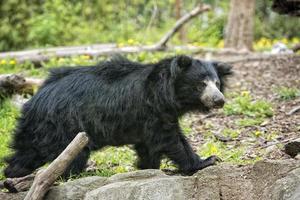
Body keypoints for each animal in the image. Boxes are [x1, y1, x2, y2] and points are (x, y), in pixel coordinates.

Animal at [4, 55, 232, 178]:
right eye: (201, 84)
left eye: (217, 83)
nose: (219, 100)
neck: (169, 94)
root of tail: (35, 99)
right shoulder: (153, 109)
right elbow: (170, 139)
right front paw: (206, 161)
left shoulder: (151, 117)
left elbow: (148, 145)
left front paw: (146, 167)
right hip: (66, 126)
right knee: (71, 156)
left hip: (42, 130)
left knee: (26, 151)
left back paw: (11, 173)